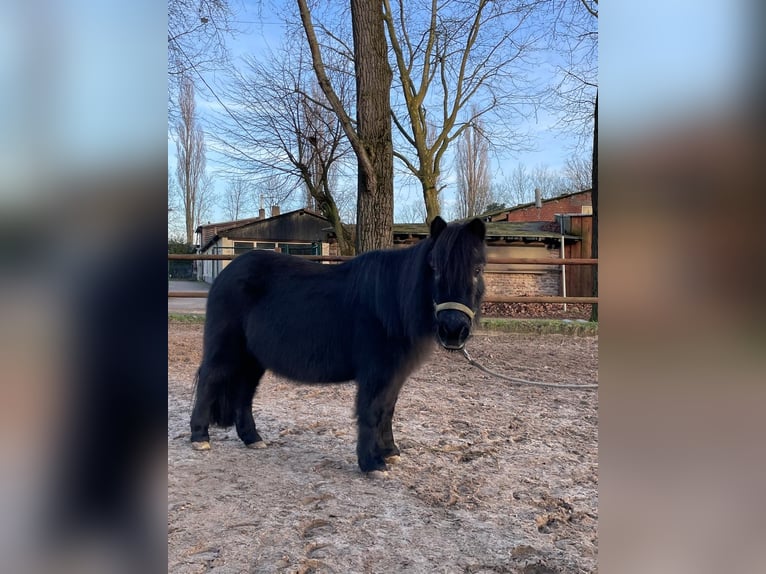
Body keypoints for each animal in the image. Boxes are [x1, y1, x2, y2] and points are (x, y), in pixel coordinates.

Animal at [195, 216, 488, 472]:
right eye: (434, 268)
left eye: (477, 269)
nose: (453, 330)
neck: (390, 305)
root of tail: (226, 273)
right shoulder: (376, 373)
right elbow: (371, 411)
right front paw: (372, 463)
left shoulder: (393, 375)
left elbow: (387, 410)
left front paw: (390, 452)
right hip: (225, 351)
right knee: (209, 381)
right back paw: (199, 438)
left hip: (252, 358)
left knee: (244, 393)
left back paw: (252, 438)